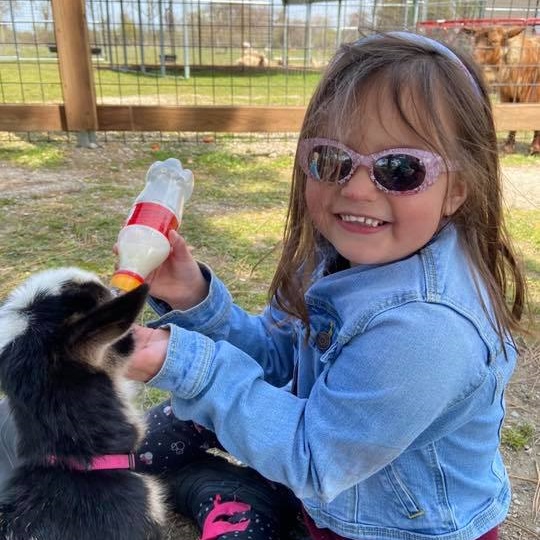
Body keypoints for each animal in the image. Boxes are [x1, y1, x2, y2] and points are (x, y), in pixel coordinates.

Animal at [460, 26, 540, 154]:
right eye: (475, 40)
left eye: (494, 41)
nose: (473, 59)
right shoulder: (508, 94)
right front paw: (508, 146)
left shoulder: (533, 94)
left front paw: (535, 147)